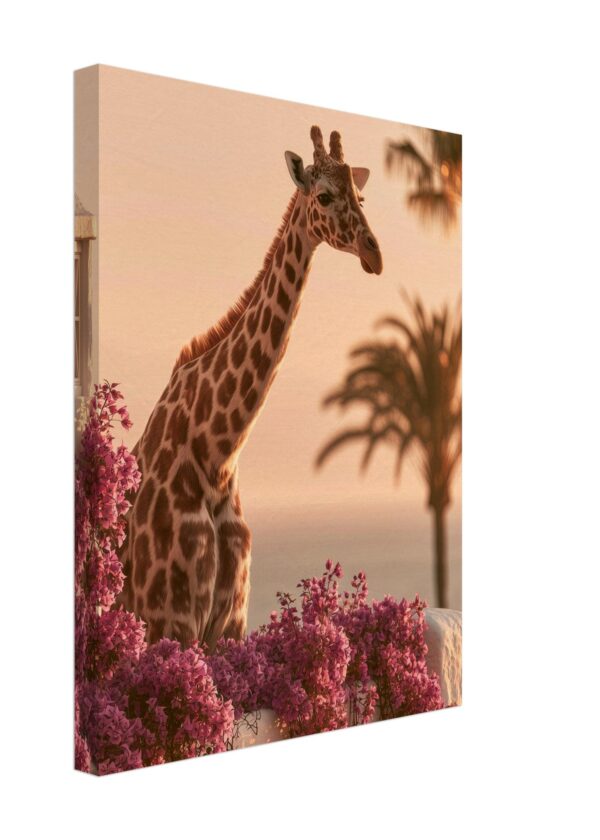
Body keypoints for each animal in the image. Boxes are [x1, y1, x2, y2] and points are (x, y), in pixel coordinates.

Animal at [118, 125, 383, 650]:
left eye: (361, 197)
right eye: (324, 196)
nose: (374, 254)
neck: (217, 453)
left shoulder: (229, 623)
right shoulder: (170, 620)